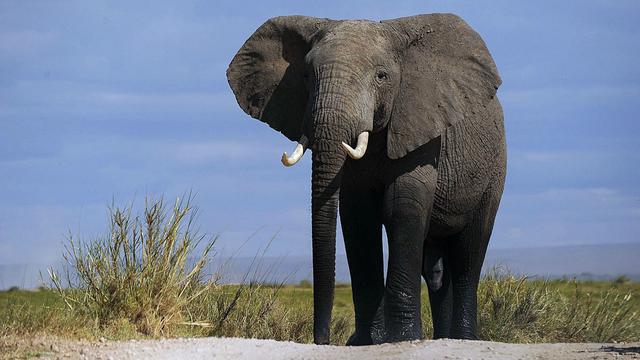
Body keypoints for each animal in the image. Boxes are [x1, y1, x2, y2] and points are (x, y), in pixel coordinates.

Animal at [228, 14, 508, 346]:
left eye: (382, 76)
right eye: (307, 76)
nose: (322, 339)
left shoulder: (421, 127)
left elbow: (402, 209)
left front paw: (402, 338)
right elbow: (359, 218)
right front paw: (364, 342)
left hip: (494, 170)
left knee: (469, 253)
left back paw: (465, 340)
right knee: (437, 271)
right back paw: (443, 340)